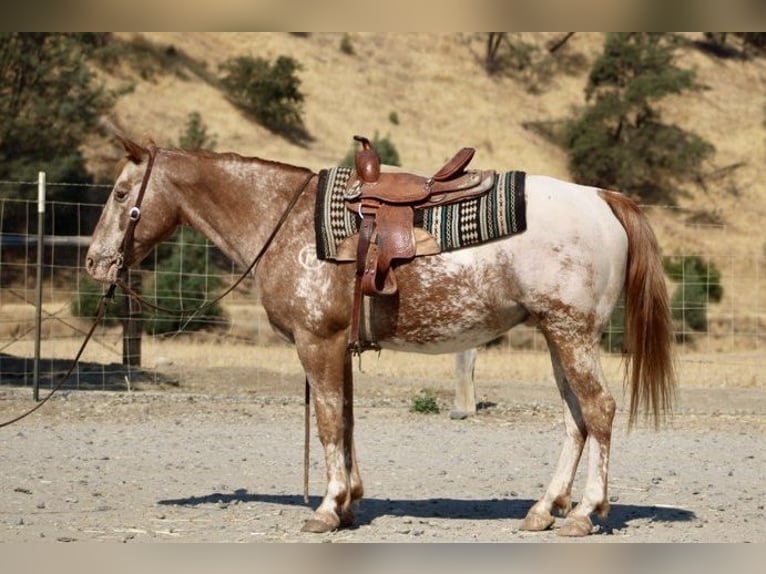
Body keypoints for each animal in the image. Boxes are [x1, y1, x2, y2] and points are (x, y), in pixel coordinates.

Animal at [85, 134, 676, 537]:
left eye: (119, 192)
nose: (94, 261)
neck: (287, 222)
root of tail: (601, 197)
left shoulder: (317, 342)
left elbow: (327, 422)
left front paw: (327, 509)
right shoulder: (338, 347)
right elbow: (345, 421)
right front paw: (350, 502)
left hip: (572, 333)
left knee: (599, 411)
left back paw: (584, 514)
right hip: (558, 336)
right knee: (576, 420)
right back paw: (542, 510)